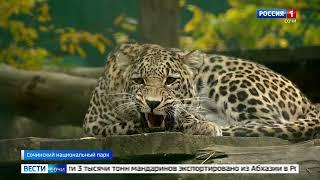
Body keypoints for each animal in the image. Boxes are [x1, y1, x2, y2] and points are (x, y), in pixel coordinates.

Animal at [83, 42, 320, 142]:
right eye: (138, 81)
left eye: (171, 81)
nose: (152, 103)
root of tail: (309, 102)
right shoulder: (93, 125)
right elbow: (128, 124)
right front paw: (201, 124)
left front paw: (201, 123)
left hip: (226, 78)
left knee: (267, 124)